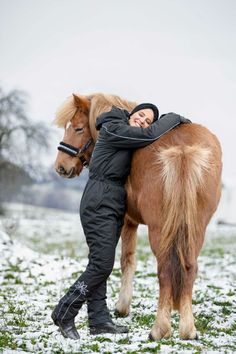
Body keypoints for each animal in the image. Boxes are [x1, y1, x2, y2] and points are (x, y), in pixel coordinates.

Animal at [53, 92, 221, 340]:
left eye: (78, 128)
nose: (61, 167)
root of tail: (183, 150)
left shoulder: (127, 222)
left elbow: (126, 260)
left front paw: (122, 307)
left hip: (159, 230)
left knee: (165, 270)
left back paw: (159, 329)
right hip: (196, 230)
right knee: (189, 267)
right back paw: (188, 329)